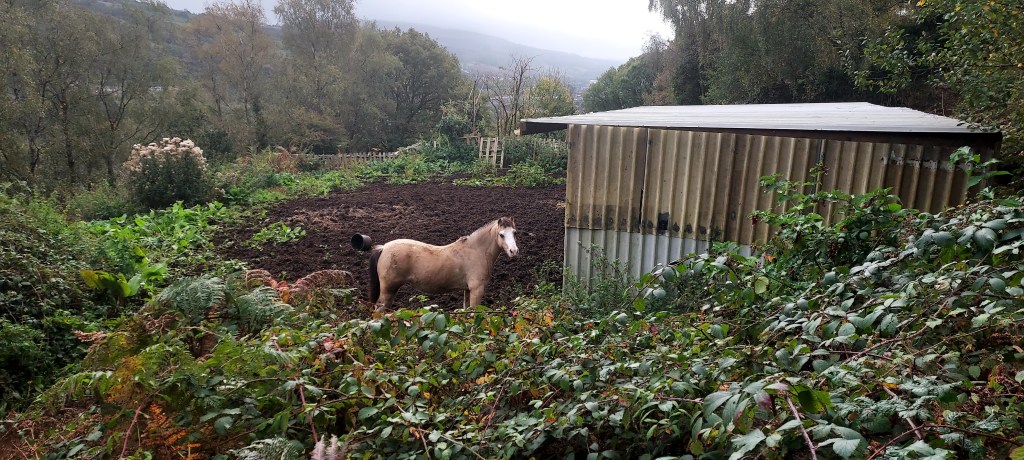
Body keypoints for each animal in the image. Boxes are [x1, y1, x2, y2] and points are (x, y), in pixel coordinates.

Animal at [353, 217, 519, 310]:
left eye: (514, 233)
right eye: (501, 235)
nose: (514, 251)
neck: (475, 251)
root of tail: (384, 247)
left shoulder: (467, 290)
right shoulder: (477, 290)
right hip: (388, 291)